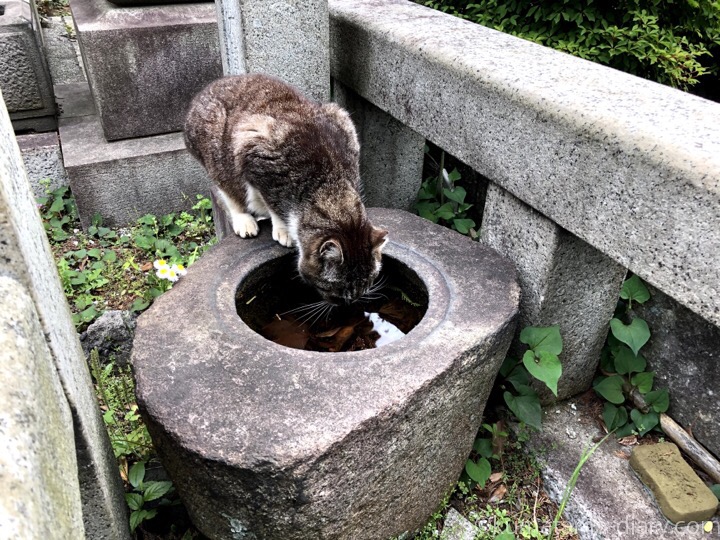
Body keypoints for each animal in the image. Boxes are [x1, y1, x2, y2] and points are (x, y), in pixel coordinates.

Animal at [186, 74, 388, 306]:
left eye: (367, 283)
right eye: (335, 288)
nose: (350, 302)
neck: (331, 186)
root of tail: (212, 86)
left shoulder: (345, 125)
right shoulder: (255, 154)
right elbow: (273, 204)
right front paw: (284, 230)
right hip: (218, 154)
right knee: (228, 190)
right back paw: (245, 220)